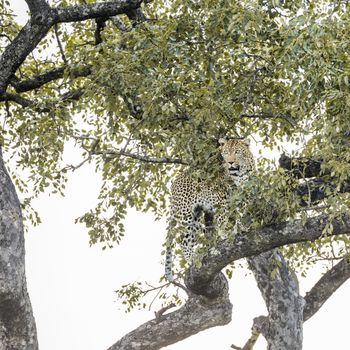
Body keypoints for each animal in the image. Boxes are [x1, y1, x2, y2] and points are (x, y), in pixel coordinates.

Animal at [164, 137, 254, 282]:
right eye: (226, 153)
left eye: (237, 152)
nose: (230, 162)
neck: (240, 175)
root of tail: (175, 181)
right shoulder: (221, 199)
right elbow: (223, 218)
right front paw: (226, 233)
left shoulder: (245, 196)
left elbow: (243, 213)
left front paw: (243, 226)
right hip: (186, 215)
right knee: (183, 240)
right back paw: (191, 259)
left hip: (195, 216)